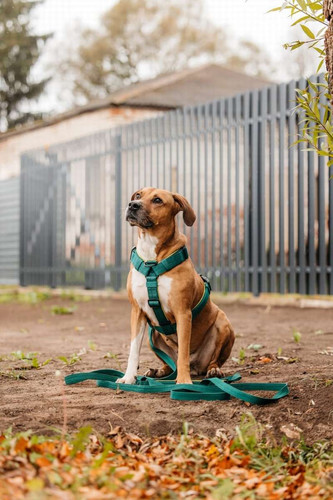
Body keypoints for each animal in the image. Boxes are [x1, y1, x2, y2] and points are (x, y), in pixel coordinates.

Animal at [116, 186, 233, 384]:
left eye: (157, 200)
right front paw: (129, 378)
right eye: (138, 195)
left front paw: (184, 381)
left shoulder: (183, 313)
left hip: (223, 324)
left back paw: (213, 371)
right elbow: (133, 350)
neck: (152, 258)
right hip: (153, 336)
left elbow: (183, 352)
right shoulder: (137, 312)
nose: (132, 205)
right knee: (169, 362)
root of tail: (196, 366)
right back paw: (159, 371)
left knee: (211, 360)